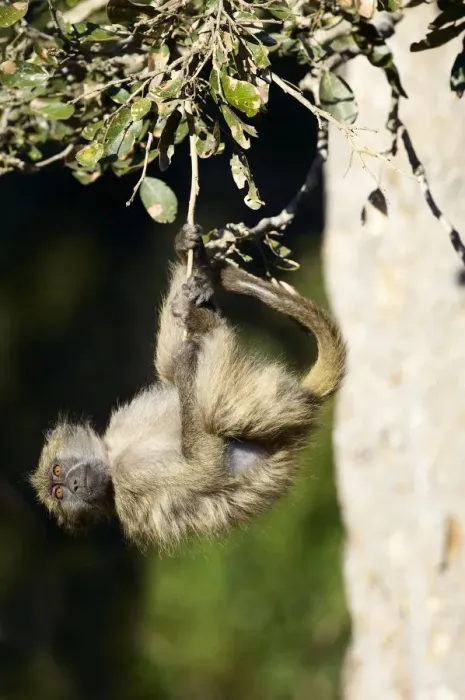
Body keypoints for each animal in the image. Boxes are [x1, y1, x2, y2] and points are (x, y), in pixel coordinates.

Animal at [30, 224, 346, 550]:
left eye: (57, 471)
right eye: (58, 493)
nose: (73, 485)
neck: (113, 460)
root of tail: (304, 399)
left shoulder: (121, 426)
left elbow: (167, 368)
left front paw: (185, 250)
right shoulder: (132, 481)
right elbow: (204, 468)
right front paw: (187, 357)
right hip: (261, 397)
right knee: (216, 411)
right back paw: (205, 321)